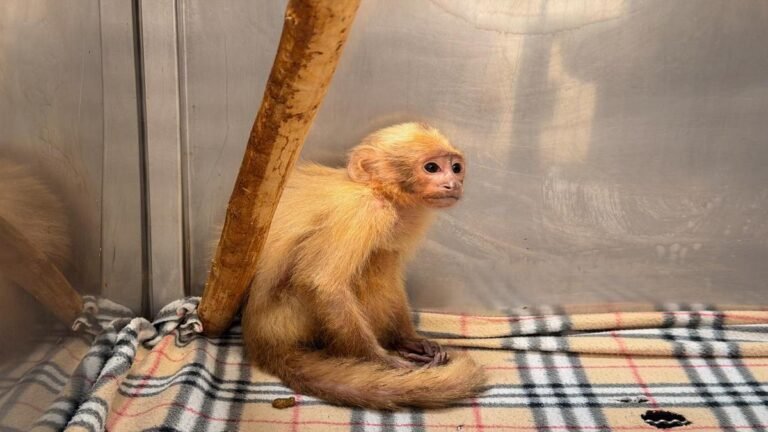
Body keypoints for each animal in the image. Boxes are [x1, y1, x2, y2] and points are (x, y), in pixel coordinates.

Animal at [241, 122, 486, 410]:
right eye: (431, 168)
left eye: (456, 168)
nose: (452, 183)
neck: (379, 192)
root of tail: (261, 339)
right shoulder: (365, 211)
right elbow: (322, 283)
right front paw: (382, 360)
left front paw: (408, 340)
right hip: (292, 315)